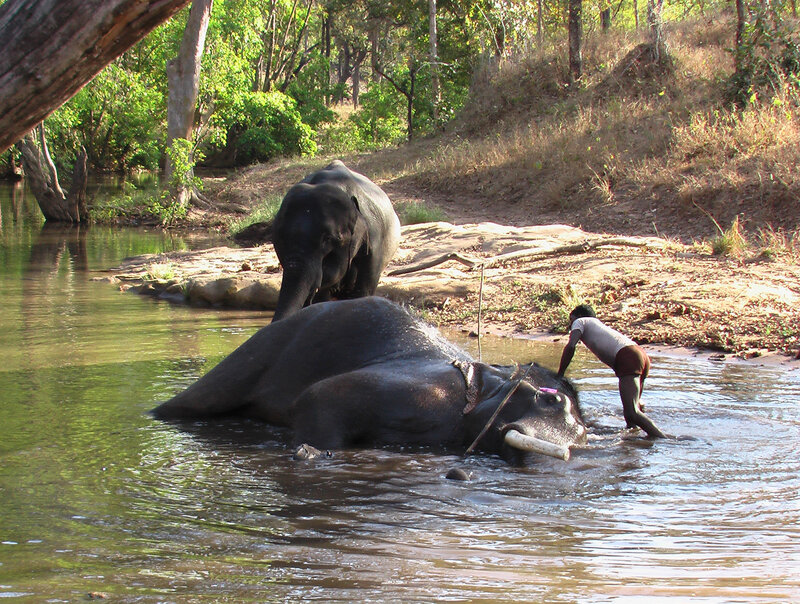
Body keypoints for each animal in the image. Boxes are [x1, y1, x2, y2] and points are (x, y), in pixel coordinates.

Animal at [152, 297, 587, 465]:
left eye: (584, 433)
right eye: (551, 400)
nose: (568, 452)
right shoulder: (426, 390)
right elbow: (318, 396)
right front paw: (311, 455)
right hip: (252, 356)